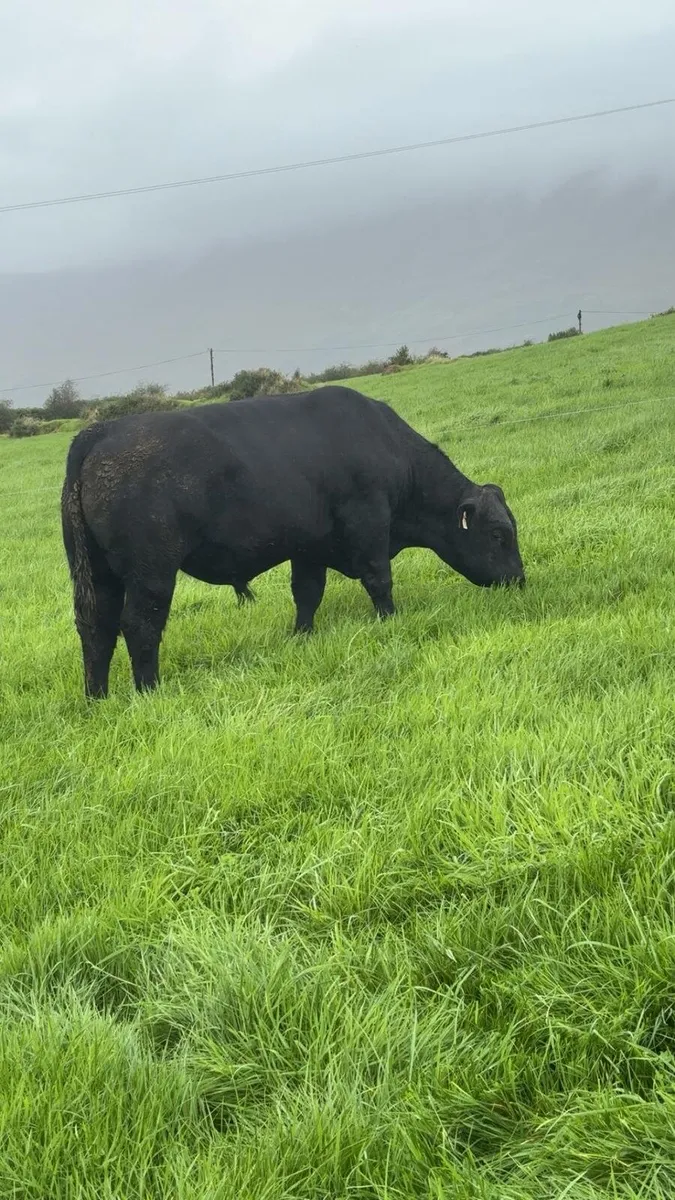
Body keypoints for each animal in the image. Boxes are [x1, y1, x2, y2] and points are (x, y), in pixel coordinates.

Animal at [61, 385, 525, 698]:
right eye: (498, 534)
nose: (520, 580)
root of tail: (98, 433)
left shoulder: (309, 547)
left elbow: (307, 593)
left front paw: (302, 636)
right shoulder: (369, 523)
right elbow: (379, 580)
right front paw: (390, 620)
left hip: (99, 574)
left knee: (96, 626)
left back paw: (98, 696)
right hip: (152, 571)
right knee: (140, 624)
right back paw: (149, 690)